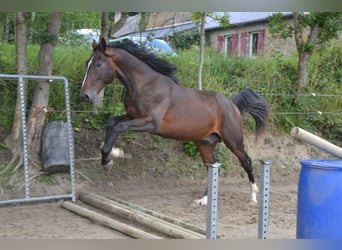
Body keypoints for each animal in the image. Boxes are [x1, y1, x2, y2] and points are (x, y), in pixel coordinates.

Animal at [81, 37, 270, 205]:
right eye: (87, 63)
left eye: (98, 64)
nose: (85, 96)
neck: (145, 85)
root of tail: (232, 104)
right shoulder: (132, 116)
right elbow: (112, 123)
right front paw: (109, 156)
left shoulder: (150, 123)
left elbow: (119, 127)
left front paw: (112, 157)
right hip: (205, 144)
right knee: (211, 166)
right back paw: (204, 200)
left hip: (233, 141)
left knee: (246, 161)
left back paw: (254, 196)